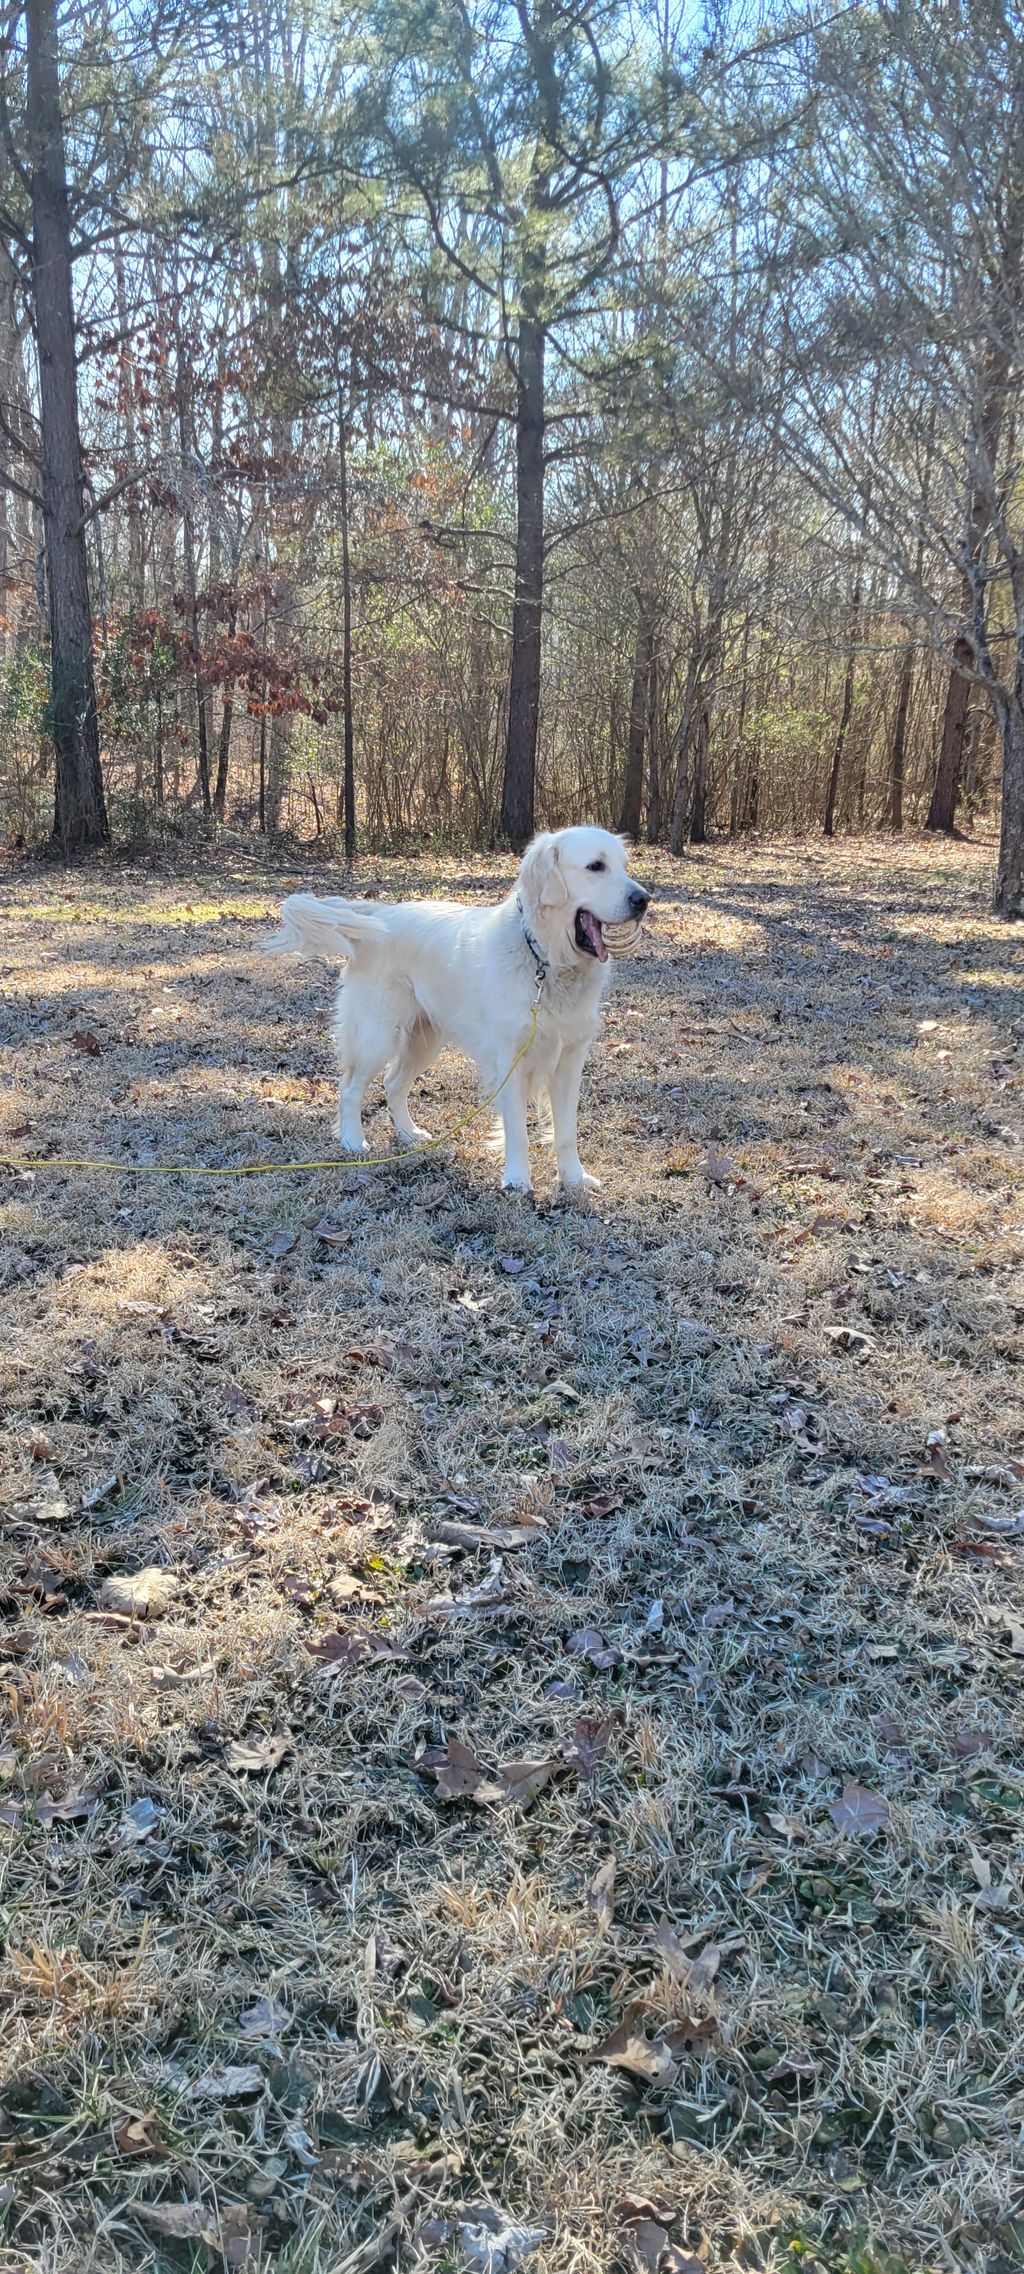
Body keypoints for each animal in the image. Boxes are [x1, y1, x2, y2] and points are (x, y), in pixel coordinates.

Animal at [261, 832, 646, 1191]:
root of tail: (382, 912)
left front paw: (574, 1179)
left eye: (623, 866)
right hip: (377, 1036)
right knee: (351, 1088)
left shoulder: (569, 1059)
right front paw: (517, 1181)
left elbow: (566, 1131)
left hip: (424, 1041)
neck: (543, 959)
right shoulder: (511, 1059)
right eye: (595, 866)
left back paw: (409, 1134)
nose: (643, 900)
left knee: (392, 1084)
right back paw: (353, 1141)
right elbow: (517, 1131)